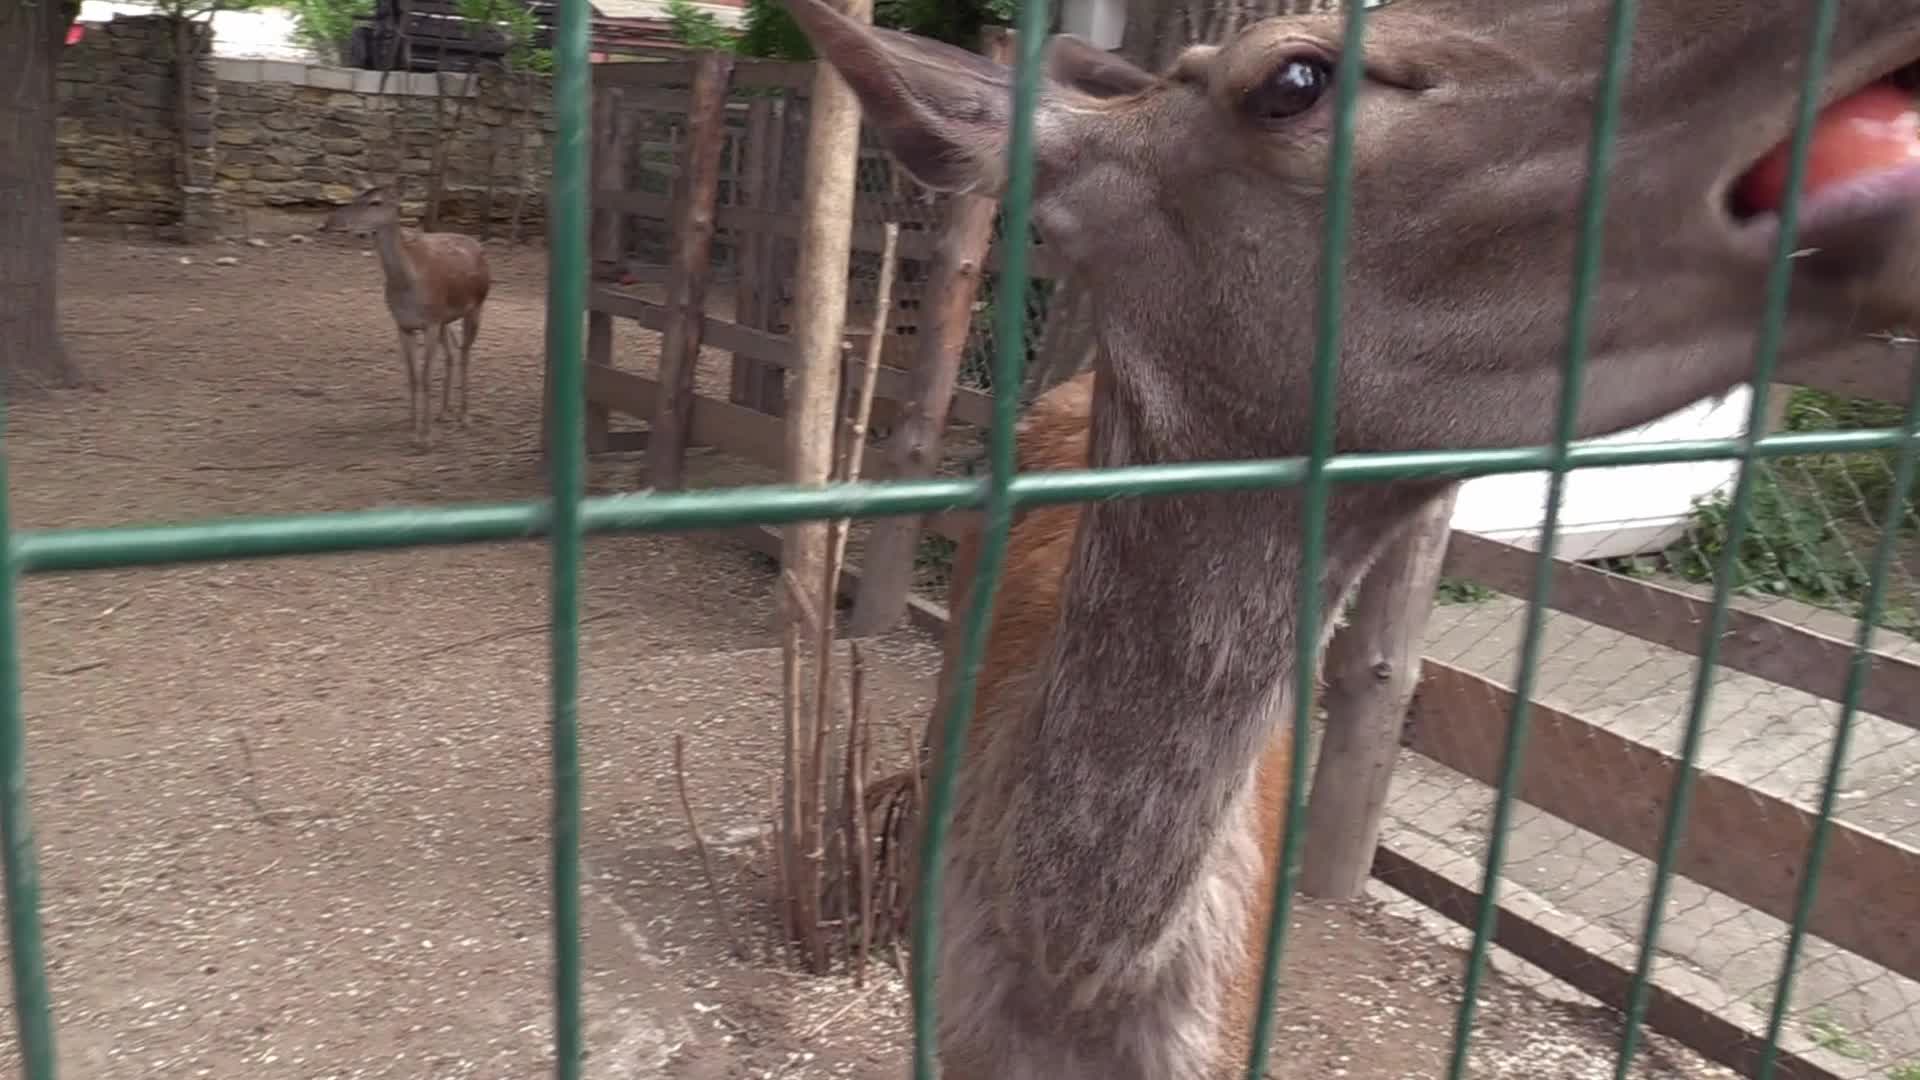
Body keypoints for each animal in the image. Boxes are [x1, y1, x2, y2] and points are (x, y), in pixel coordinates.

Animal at [320, 186, 491, 448]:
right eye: (357, 196)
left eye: (375, 202)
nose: (329, 222)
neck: (408, 287)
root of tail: (479, 247)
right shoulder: (403, 324)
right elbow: (412, 376)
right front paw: (412, 428)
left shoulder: (431, 323)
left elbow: (426, 376)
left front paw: (426, 437)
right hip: (446, 319)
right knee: (452, 352)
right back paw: (443, 412)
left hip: (476, 305)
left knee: (465, 354)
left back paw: (464, 417)